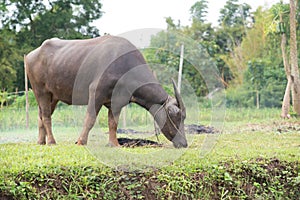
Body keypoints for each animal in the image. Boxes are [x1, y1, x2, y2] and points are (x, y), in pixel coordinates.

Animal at [25, 36, 188, 148]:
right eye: (175, 115)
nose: (184, 143)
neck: (126, 67)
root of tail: (31, 55)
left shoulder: (117, 101)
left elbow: (113, 122)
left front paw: (113, 143)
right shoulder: (96, 92)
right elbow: (90, 119)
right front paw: (81, 141)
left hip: (53, 96)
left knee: (41, 116)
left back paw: (41, 141)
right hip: (41, 91)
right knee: (46, 116)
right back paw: (52, 141)